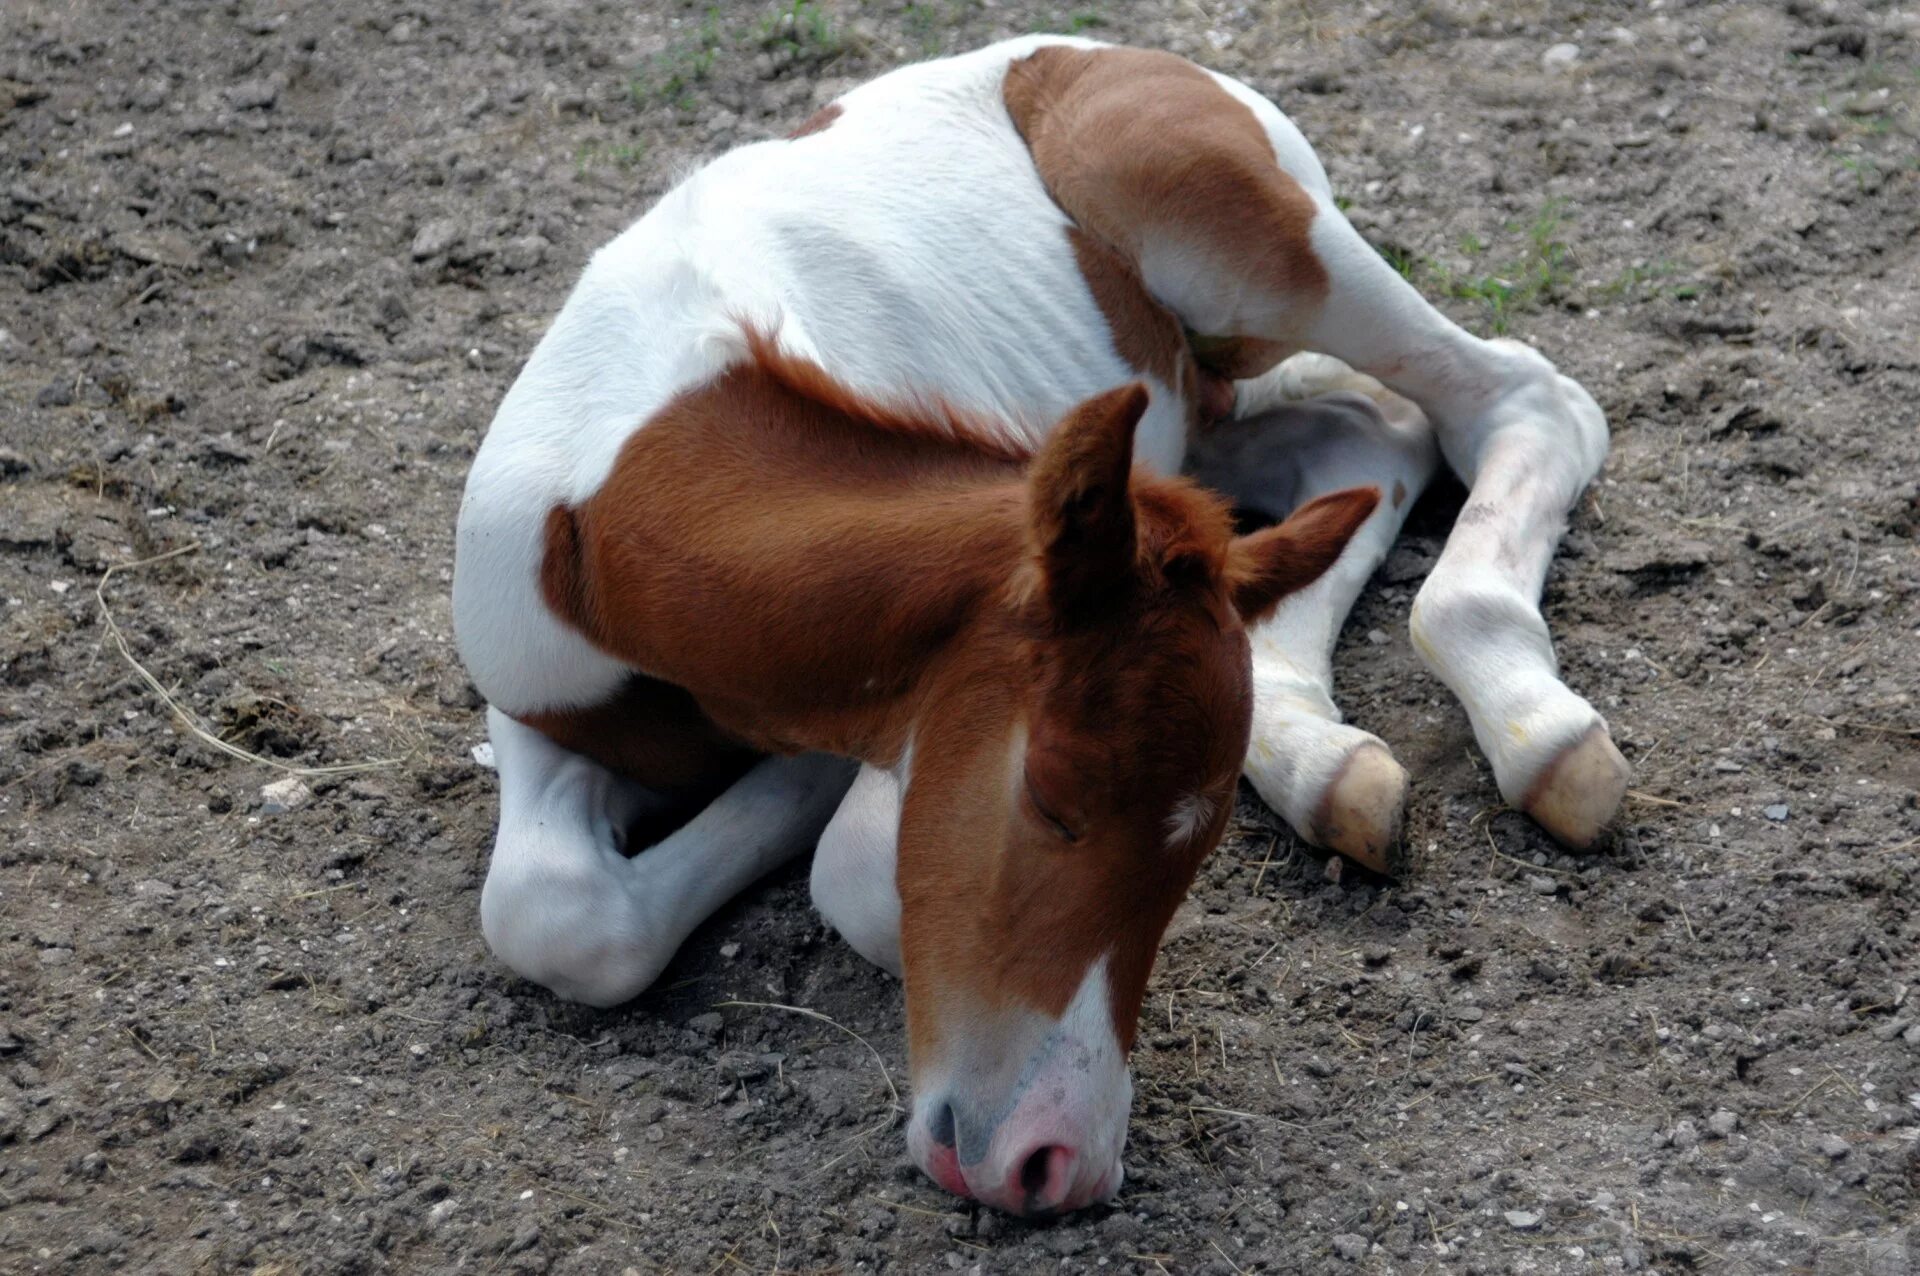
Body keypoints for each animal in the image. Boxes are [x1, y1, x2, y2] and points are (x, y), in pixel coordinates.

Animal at [456, 37, 1628, 1212]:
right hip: (1189, 414)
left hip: (1234, 233)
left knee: (1519, 394)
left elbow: (850, 866)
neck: (631, 477)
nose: (1055, 1160)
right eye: (1052, 796)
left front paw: (795, 783)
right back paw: (1328, 760)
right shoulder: (526, 685)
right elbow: (555, 913)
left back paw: (1542, 734)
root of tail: (1101, 49)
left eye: (1202, 851)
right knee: (1367, 433)